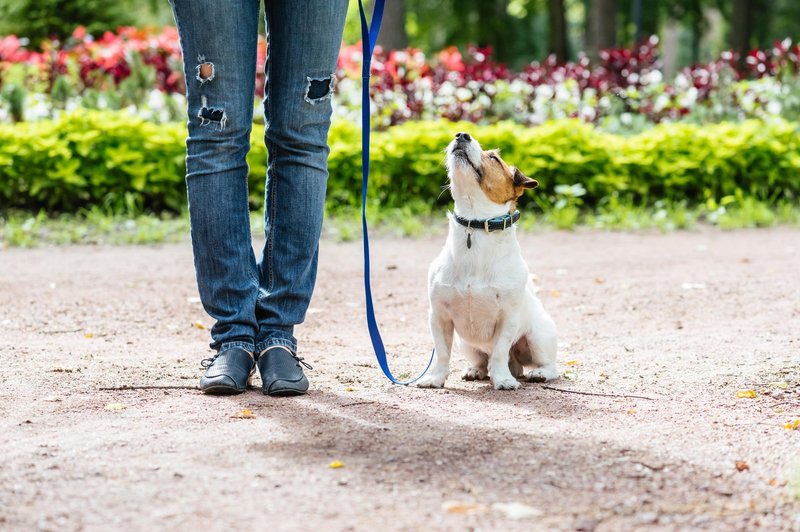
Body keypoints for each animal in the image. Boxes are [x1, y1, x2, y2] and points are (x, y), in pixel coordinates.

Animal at [418, 132, 556, 390]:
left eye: (494, 158)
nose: (461, 134)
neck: (476, 224)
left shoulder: (508, 318)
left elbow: (500, 352)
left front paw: (502, 379)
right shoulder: (439, 316)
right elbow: (442, 353)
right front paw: (435, 378)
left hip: (538, 337)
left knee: (548, 365)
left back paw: (537, 373)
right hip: (466, 344)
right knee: (483, 360)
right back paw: (476, 370)